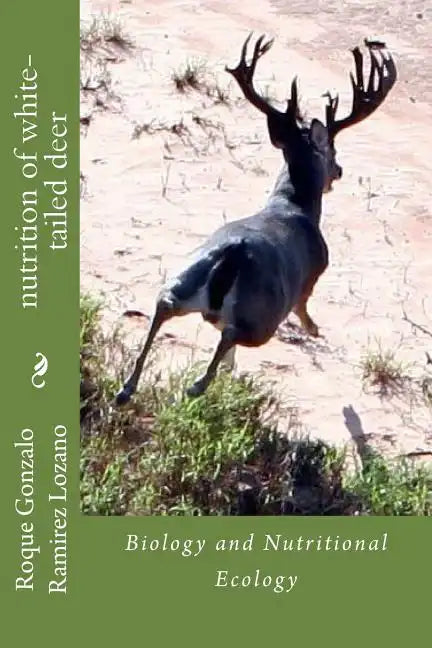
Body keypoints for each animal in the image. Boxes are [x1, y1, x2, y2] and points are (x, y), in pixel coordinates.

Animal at [115, 34, 396, 405]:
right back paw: (196, 385)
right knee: (234, 332)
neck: (292, 204)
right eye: (332, 151)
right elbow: (304, 306)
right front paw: (314, 328)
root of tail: (233, 252)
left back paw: (128, 388)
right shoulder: (316, 271)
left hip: (187, 275)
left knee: (166, 304)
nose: (338, 170)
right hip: (264, 311)